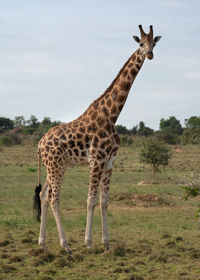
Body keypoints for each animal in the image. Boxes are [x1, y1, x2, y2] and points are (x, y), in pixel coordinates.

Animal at [33, 25, 161, 252]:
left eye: (154, 43)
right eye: (140, 43)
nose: (150, 54)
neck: (112, 115)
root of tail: (39, 144)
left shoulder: (110, 161)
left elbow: (104, 201)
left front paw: (107, 243)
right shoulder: (96, 160)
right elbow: (90, 200)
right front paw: (88, 243)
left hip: (55, 166)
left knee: (44, 195)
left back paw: (43, 243)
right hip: (55, 165)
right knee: (54, 198)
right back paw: (65, 245)